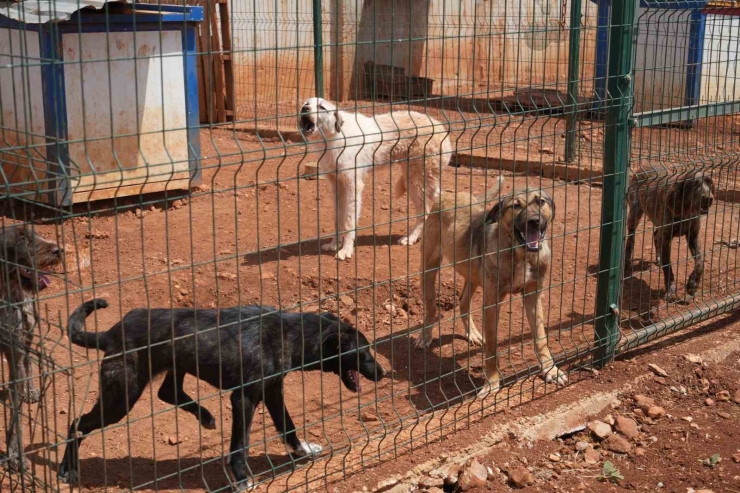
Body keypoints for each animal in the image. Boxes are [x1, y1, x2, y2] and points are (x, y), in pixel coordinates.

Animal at [0, 225, 63, 470]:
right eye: (21, 238)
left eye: (35, 233)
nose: (58, 250)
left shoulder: (15, 350)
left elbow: (15, 415)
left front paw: (14, 454)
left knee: (28, 361)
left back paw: (31, 389)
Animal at [57, 300, 388, 488]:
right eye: (363, 352)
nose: (383, 373)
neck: (292, 334)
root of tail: (110, 333)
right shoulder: (244, 398)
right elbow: (240, 445)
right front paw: (241, 478)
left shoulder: (272, 391)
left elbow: (288, 426)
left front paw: (303, 450)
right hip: (121, 395)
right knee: (76, 424)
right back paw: (66, 470)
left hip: (171, 368)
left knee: (167, 391)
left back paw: (204, 416)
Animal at [298, 98, 448, 262]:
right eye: (306, 103)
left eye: (321, 107)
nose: (304, 109)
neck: (335, 137)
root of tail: (441, 127)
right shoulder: (337, 186)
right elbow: (338, 219)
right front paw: (334, 245)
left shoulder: (353, 186)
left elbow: (349, 222)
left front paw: (346, 250)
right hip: (416, 180)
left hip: (416, 182)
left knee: (424, 212)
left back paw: (411, 238)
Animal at [416, 177, 568, 396]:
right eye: (515, 206)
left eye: (540, 202)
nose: (534, 221)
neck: (521, 254)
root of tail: (448, 194)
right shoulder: (492, 302)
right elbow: (492, 347)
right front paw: (491, 382)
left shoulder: (533, 295)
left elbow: (541, 338)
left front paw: (551, 370)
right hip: (429, 268)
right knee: (430, 308)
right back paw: (425, 336)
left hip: (473, 274)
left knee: (463, 302)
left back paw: (472, 333)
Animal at [628, 168, 712, 300]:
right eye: (693, 184)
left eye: (709, 182)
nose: (709, 198)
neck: (685, 212)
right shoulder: (666, 239)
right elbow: (668, 267)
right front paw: (671, 290)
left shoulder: (693, 237)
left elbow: (700, 262)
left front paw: (693, 285)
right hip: (634, 214)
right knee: (630, 238)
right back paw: (627, 261)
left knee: (655, 235)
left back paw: (658, 258)